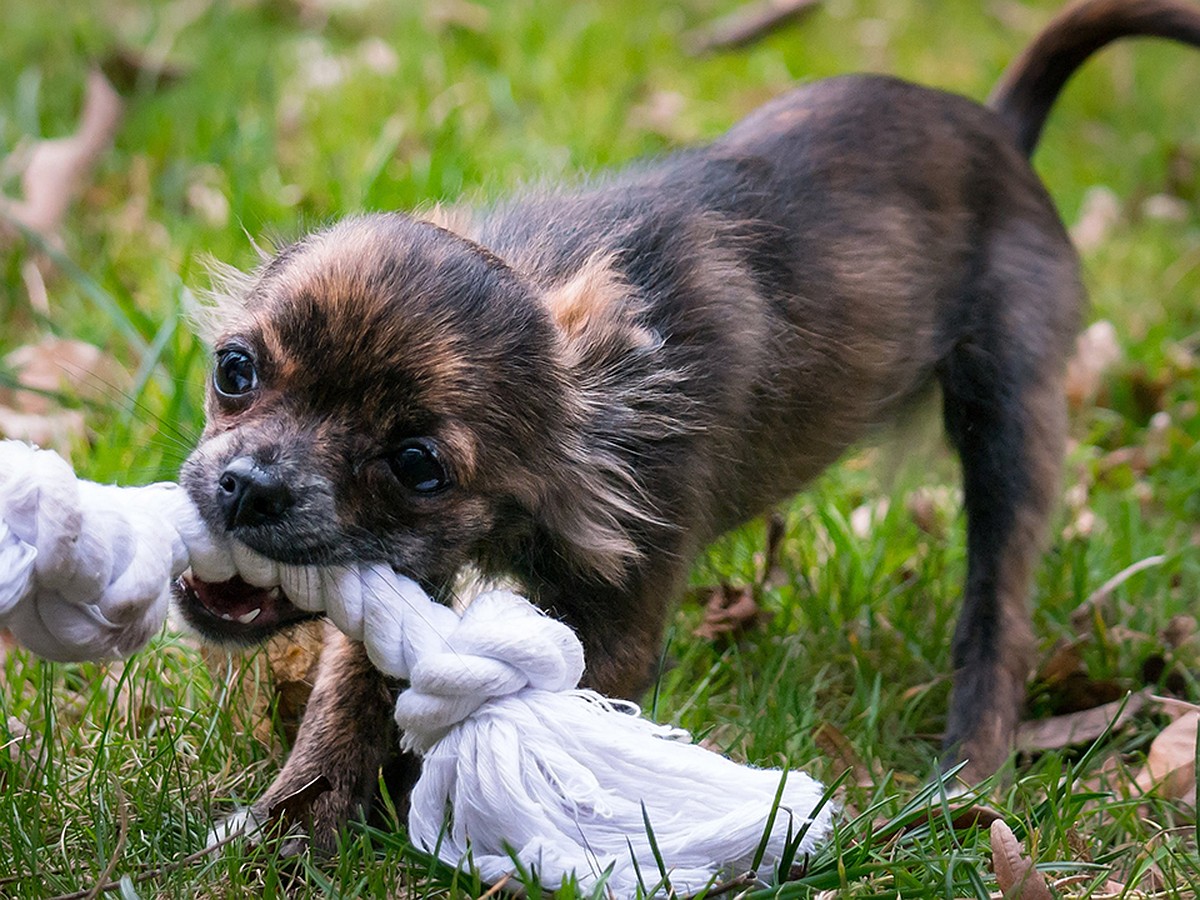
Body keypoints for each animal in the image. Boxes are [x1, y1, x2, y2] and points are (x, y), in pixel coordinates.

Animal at [174, 0, 1200, 854]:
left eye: (418, 465)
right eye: (235, 371)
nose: (247, 488)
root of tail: (1002, 130)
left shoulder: (618, 618)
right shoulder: (399, 582)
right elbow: (344, 704)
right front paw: (286, 834)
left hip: (1011, 419)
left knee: (999, 611)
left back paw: (965, 777)